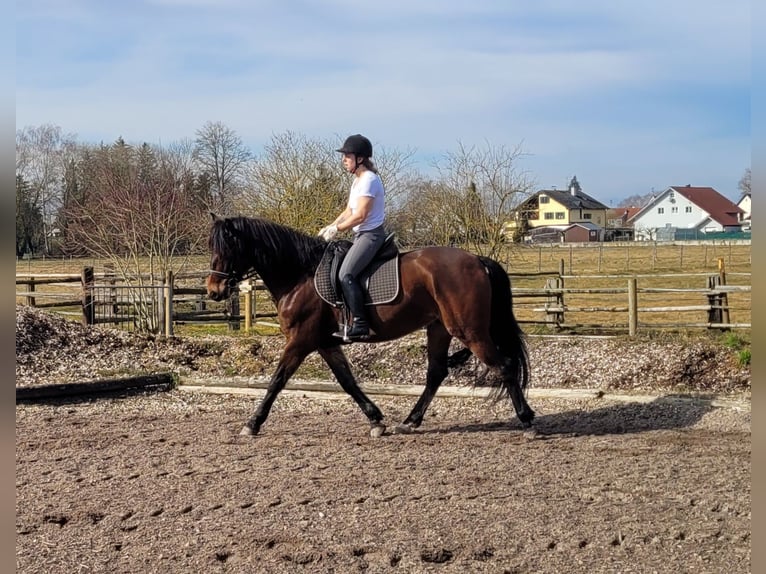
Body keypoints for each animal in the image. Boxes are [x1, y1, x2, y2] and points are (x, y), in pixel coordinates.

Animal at [207, 215, 536, 436]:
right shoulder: (325, 342)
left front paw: (252, 423)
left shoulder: (300, 340)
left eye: (226, 248)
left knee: (505, 366)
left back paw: (527, 420)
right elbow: (347, 382)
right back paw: (410, 421)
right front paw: (376, 419)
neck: (299, 276)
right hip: (439, 328)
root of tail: (478, 260)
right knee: (436, 373)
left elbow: (277, 380)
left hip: (469, 331)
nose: (213, 291)